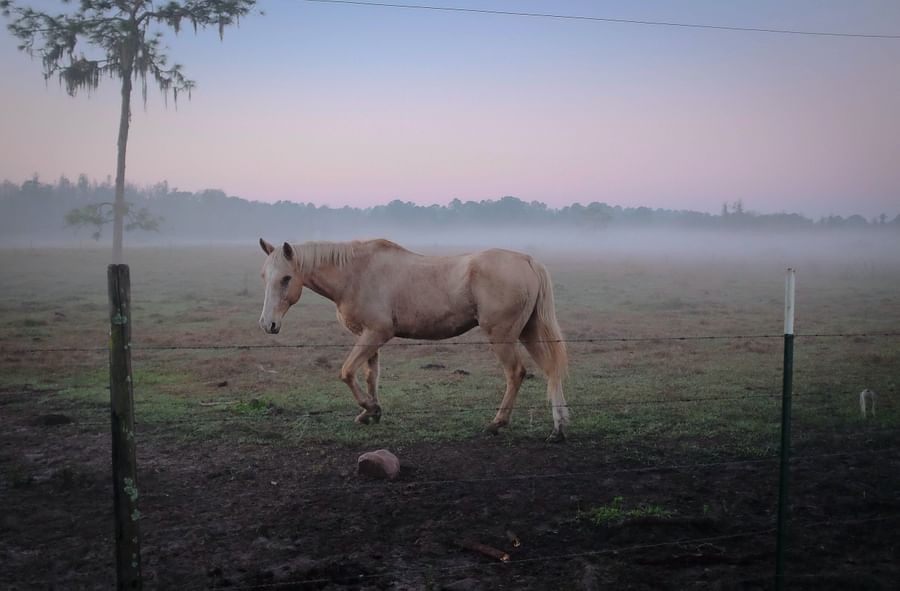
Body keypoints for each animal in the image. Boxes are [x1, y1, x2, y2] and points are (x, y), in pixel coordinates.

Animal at [258, 238, 570, 442]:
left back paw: (497, 423)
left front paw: (370, 409)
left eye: (286, 278)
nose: (267, 324)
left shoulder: (376, 334)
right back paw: (558, 428)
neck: (356, 274)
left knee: (516, 373)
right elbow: (370, 376)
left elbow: (346, 372)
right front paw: (371, 413)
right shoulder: (368, 337)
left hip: (503, 337)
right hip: (528, 332)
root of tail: (527, 260)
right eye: (264, 276)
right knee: (551, 371)